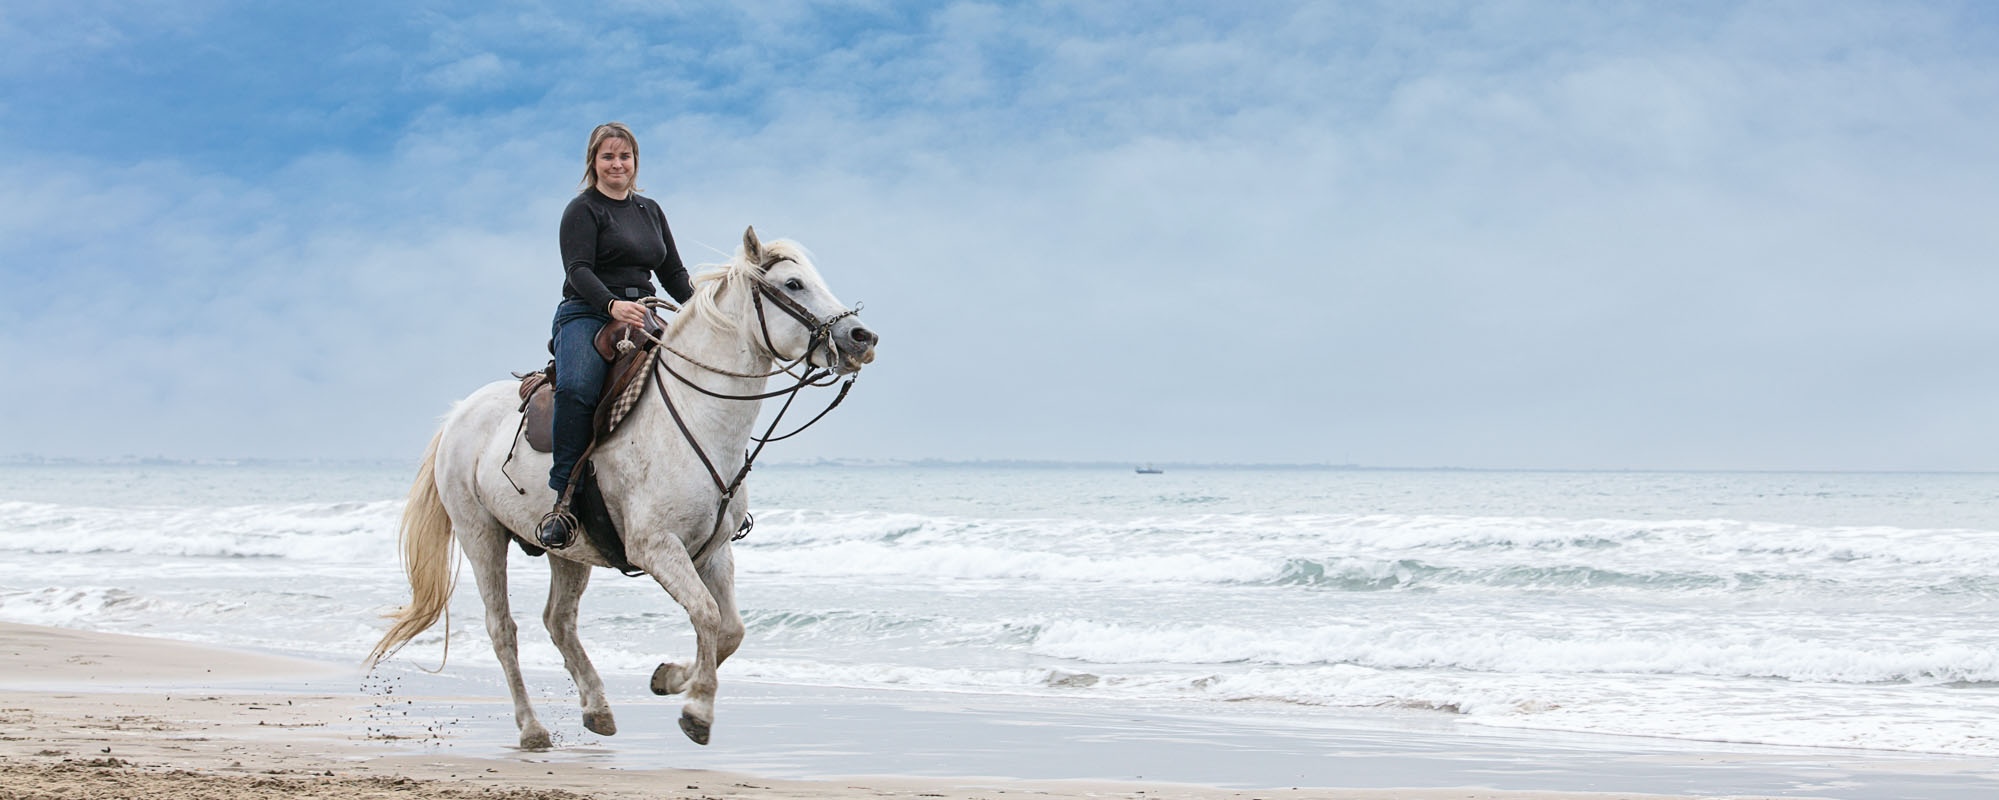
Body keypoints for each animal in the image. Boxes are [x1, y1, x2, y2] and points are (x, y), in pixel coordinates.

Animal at [366, 227, 878, 749]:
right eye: (793, 284)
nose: (862, 337)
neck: (696, 416)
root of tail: (457, 415)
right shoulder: (655, 547)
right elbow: (707, 614)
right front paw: (697, 709)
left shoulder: (713, 551)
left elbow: (730, 629)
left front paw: (670, 678)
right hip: (480, 534)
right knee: (502, 628)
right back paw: (533, 728)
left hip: (567, 548)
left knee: (559, 620)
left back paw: (597, 708)